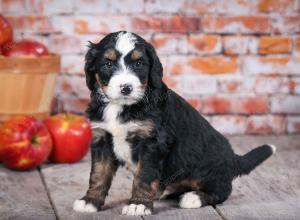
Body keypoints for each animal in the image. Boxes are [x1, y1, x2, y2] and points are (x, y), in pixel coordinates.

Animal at [73, 31, 276, 217]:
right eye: (107, 64)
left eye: (139, 63)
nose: (126, 88)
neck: (122, 107)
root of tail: (234, 158)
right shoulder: (102, 139)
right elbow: (98, 174)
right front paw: (90, 202)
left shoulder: (152, 143)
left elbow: (143, 175)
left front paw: (138, 204)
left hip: (210, 170)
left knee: (222, 191)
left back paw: (193, 198)